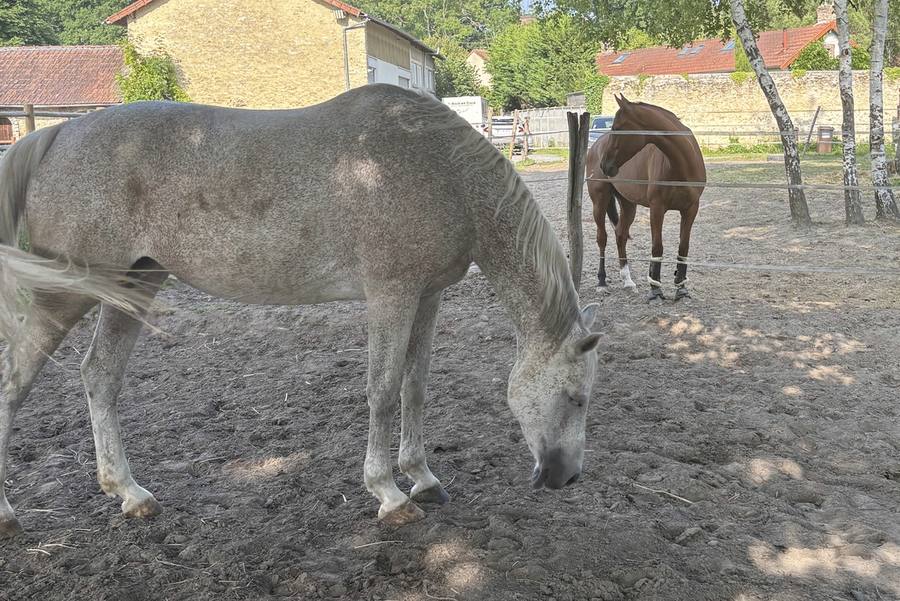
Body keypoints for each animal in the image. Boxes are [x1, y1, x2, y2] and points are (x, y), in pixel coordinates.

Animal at [0, 84, 602, 538]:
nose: (566, 478)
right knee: (16, 380)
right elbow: (383, 391)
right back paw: (9, 513)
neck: (439, 167)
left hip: (135, 285)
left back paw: (130, 493)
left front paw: (423, 478)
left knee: (100, 376)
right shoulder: (391, 295)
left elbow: (415, 387)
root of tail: (56, 134)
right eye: (576, 397)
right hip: (67, 293)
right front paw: (389, 494)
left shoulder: (426, 296)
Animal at [585, 95, 705, 301]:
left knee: (620, 235)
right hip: (599, 202)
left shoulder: (690, 209)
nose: (604, 165)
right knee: (602, 238)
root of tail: (594, 148)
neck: (680, 165)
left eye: (618, 128)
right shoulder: (657, 209)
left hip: (628, 205)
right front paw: (655, 289)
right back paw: (601, 282)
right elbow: (657, 247)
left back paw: (628, 281)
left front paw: (681, 288)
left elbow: (683, 247)